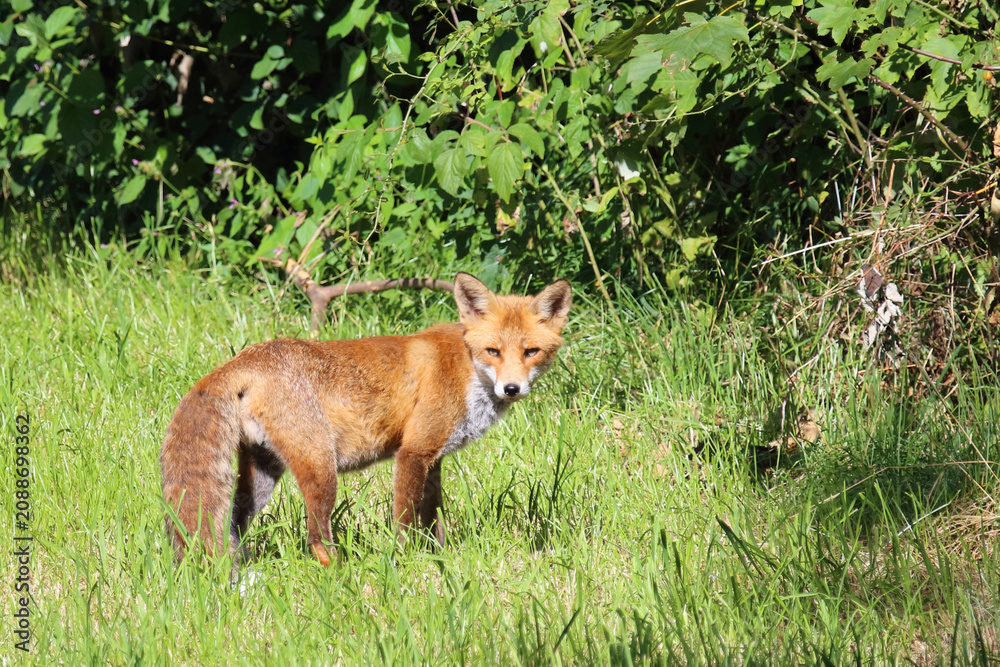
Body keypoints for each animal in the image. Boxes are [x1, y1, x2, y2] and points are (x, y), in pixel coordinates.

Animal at [160, 273, 571, 566]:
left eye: (531, 352)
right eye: (493, 351)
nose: (512, 388)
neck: (467, 367)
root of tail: (242, 359)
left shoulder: (433, 457)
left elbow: (433, 520)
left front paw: (440, 560)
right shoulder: (413, 453)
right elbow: (404, 521)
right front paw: (406, 563)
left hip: (263, 473)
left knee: (235, 521)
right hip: (321, 469)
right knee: (316, 539)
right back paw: (343, 574)